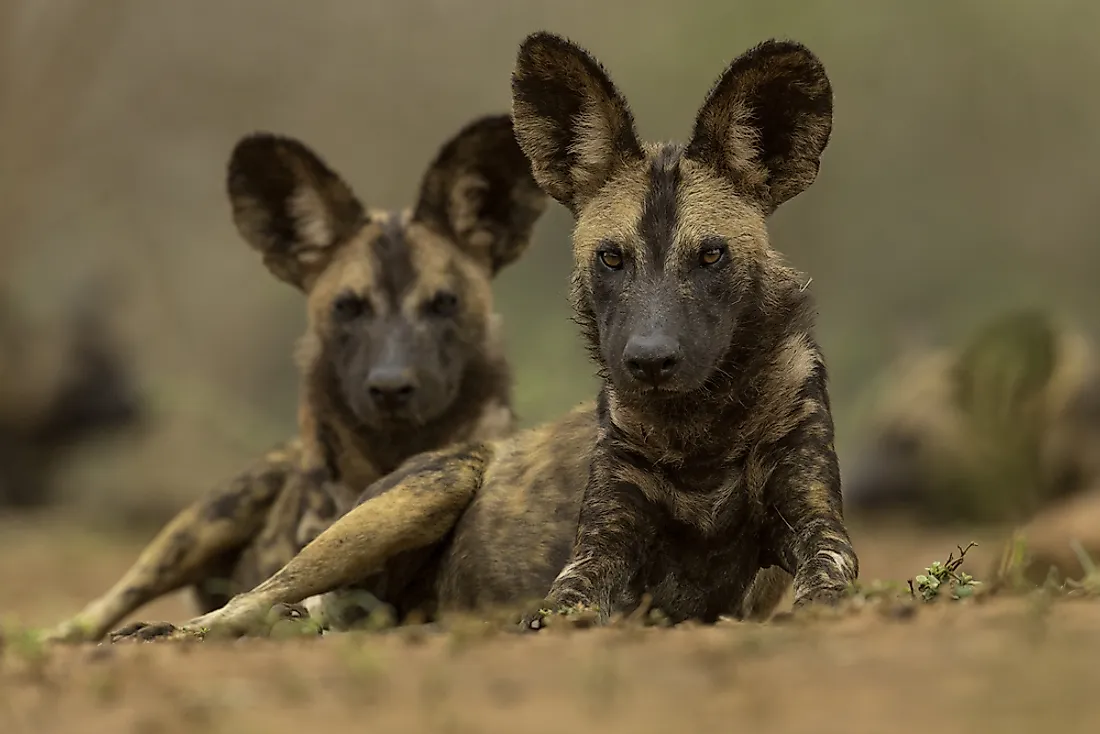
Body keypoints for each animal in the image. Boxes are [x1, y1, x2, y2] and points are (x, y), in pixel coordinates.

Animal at [42, 113, 550, 642]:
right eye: (348, 307)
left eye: (444, 303)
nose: (391, 387)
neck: (391, 453)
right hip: (204, 524)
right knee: (110, 604)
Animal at [99, 30, 858, 638]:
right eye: (611, 258)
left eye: (712, 256)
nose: (649, 360)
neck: (697, 434)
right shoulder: (596, 556)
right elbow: (565, 604)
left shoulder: (820, 531)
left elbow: (828, 580)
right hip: (414, 498)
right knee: (252, 599)